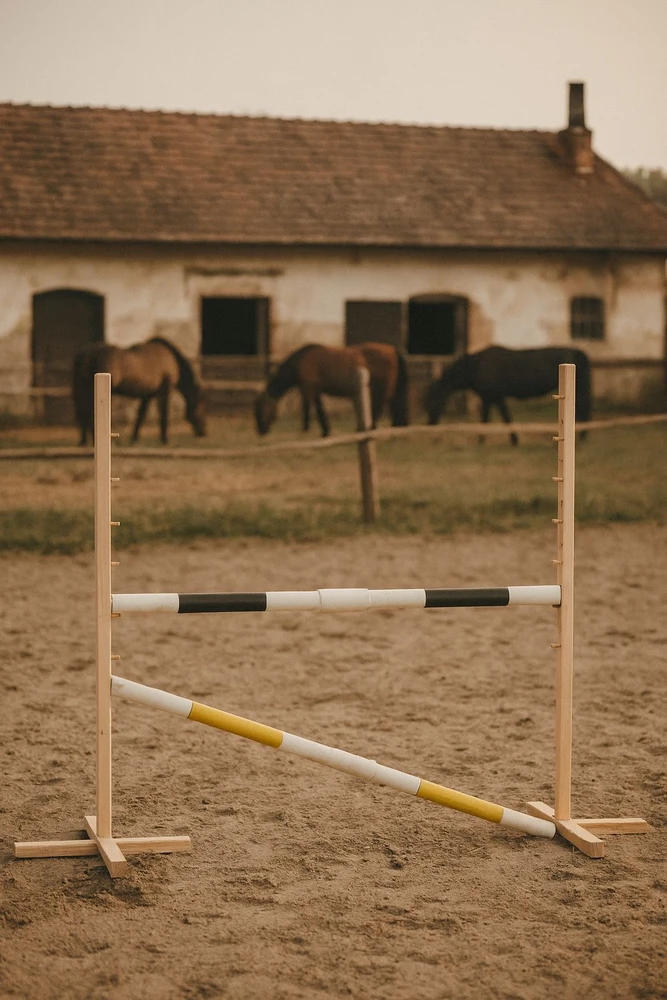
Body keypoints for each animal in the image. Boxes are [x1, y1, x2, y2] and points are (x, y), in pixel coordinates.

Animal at [72, 337, 207, 445]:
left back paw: (83, 441)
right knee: (88, 415)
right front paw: (165, 439)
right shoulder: (165, 390)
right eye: (200, 407)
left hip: (82, 390)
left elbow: (141, 415)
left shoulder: (147, 395)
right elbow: (164, 413)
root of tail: (89, 354)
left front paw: (134, 438)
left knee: (82, 413)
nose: (203, 433)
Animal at [254, 342, 410, 437]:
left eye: (262, 408)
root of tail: (392, 350)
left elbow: (309, 408)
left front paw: (307, 430)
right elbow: (319, 409)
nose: (260, 431)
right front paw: (324, 431)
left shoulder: (308, 389)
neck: (301, 361)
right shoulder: (316, 391)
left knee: (379, 408)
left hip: (382, 391)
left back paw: (368, 428)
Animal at [424, 345, 591, 445]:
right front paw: (484, 439)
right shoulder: (489, 398)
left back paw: (583, 437)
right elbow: (489, 419)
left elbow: (502, 418)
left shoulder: (496, 397)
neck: (474, 366)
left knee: (584, 409)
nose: (429, 424)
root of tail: (577, 352)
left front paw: (508, 440)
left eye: (433, 401)